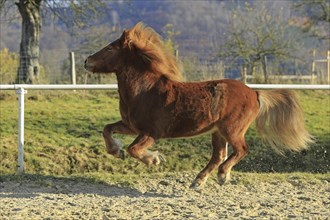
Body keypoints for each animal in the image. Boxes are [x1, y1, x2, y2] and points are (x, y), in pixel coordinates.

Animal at [84, 21, 314, 187]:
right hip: (218, 132)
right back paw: (199, 180)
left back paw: (222, 175)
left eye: (110, 48)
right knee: (219, 155)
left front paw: (154, 159)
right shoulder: (131, 126)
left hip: (231, 129)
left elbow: (134, 149)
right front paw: (117, 151)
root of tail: (254, 92)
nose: (87, 61)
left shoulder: (151, 132)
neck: (144, 90)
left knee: (241, 150)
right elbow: (107, 129)